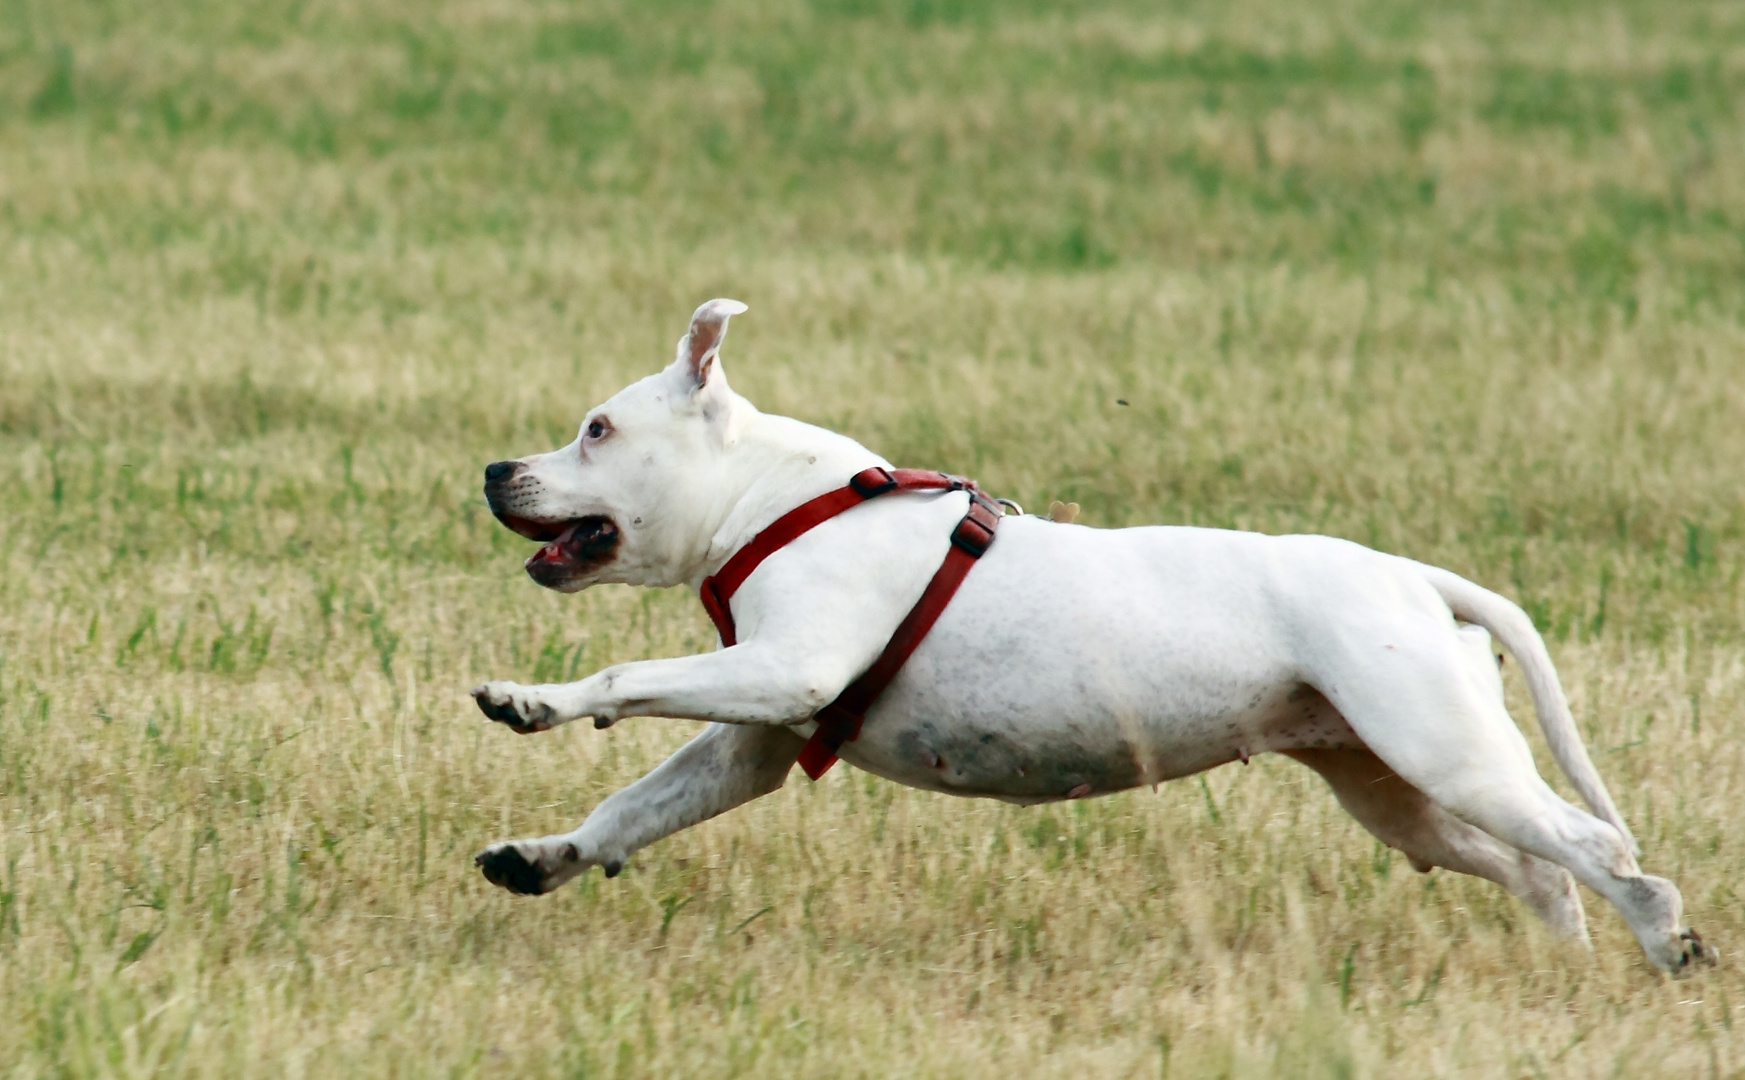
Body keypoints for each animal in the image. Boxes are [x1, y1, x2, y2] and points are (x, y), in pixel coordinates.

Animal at [474, 300, 1717, 977]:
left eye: (597, 430)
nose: (495, 470)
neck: (774, 496)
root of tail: (1416, 579)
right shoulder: (755, 737)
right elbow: (633, 806)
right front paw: (544, 857)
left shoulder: (780, 672)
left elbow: (625, 675)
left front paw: (533, 701)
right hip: (1389, 786)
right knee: (1533, 868)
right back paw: (1574, 959)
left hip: (1439, 751)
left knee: (1588, 848)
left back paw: (1665, 940)